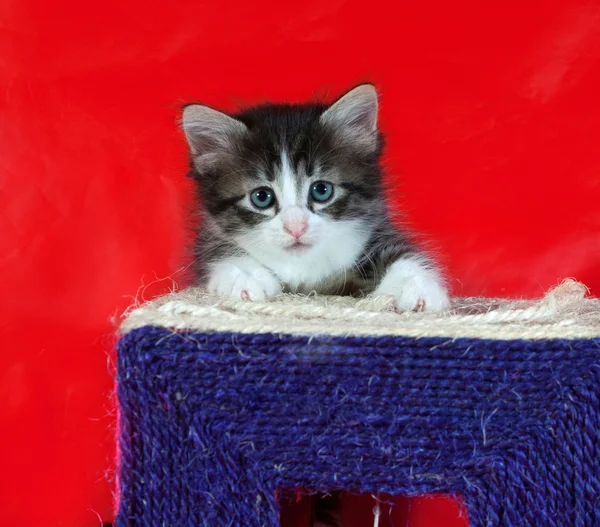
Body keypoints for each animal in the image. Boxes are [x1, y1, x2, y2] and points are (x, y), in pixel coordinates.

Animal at [183, 83, 450, 314]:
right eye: (261, 197)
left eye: (321, 190)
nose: (296, 228)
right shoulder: (211, 234)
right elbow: (219, 252)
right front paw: (244, 276)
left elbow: (399, 250)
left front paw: (413, 284)